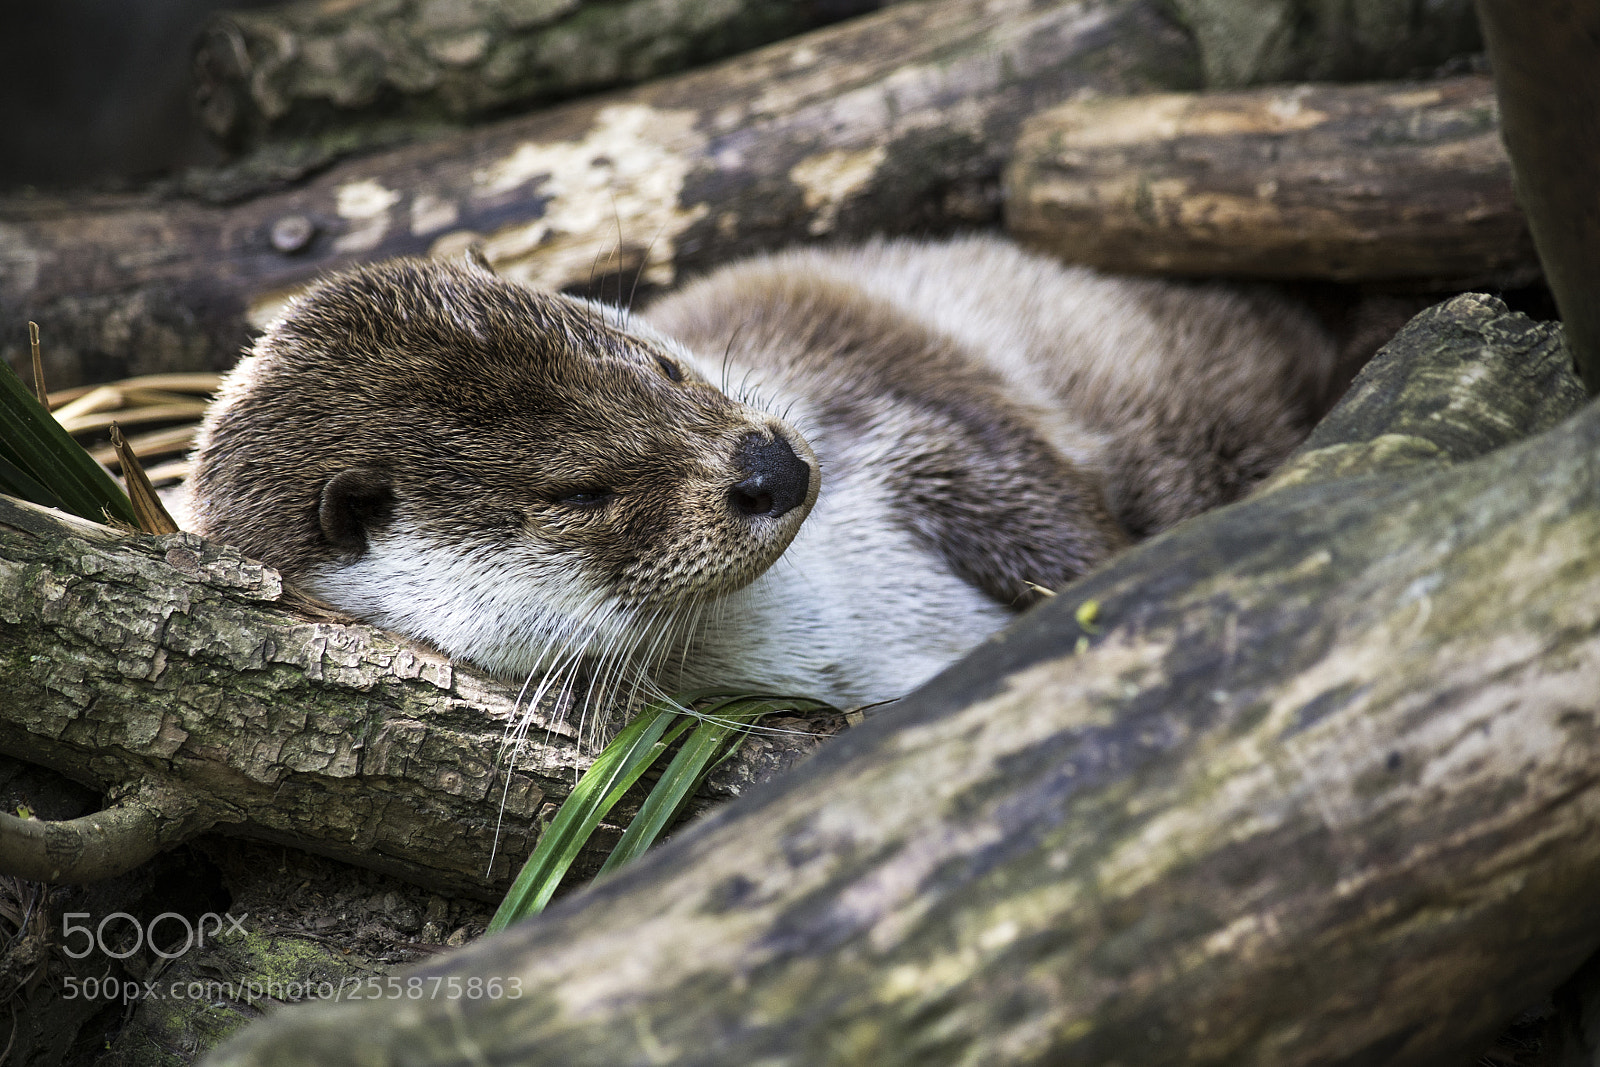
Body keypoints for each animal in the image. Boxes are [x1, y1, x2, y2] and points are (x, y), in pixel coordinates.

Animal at [185, 235, 1341, 708]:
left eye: (656, 363)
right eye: (580, 492)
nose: (771, 467)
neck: (841, 600)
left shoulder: (885, 385)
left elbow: (1020, 480)